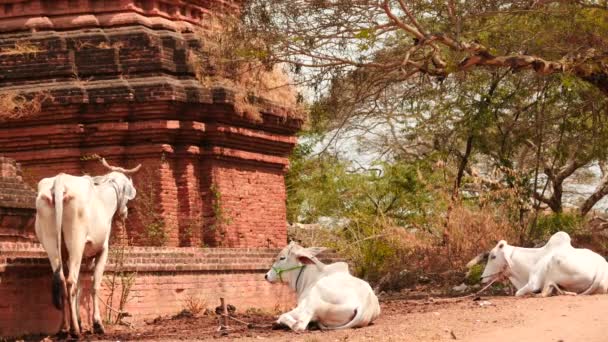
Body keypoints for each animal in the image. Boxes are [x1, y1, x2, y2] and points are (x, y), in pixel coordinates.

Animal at [35, 158, 140, 336]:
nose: (125, 212)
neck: (103, 200)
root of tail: (59, 181)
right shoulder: (102, 250)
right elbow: (94, 286)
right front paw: (97, 324)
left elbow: (79, 288)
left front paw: (79, 321)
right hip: (76, 240)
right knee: (70, 281)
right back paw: (75, 331)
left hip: (52, 244)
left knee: (62, 280)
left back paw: (64, 328)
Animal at [476, 232, 608, 296]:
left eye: (493, 257)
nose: (481, 278)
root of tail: (601, 268)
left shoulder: (533, 283)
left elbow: (518, 293)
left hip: (554, 266)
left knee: (545, 292)